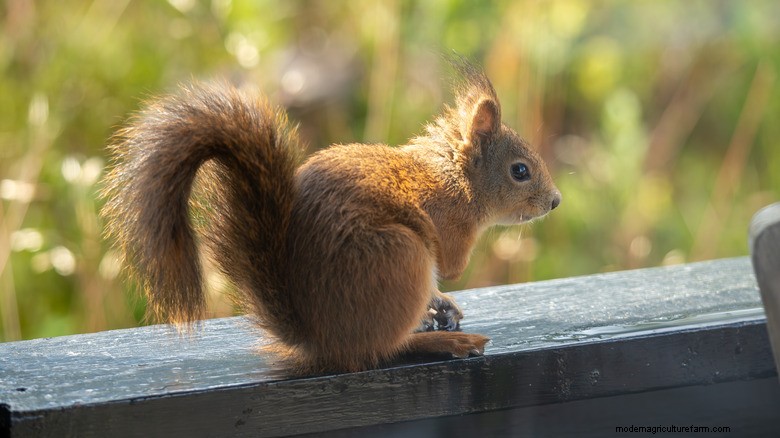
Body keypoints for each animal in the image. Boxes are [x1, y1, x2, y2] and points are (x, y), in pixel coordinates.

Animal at [100, 60, 561, 374]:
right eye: (520, 171)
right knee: (381, 350)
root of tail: (321, 339)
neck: (453, 176)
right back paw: (444, 343)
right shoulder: (450, 228)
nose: (555, 202)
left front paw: (444, 304)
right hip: (401, 257)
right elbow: (449, 265)